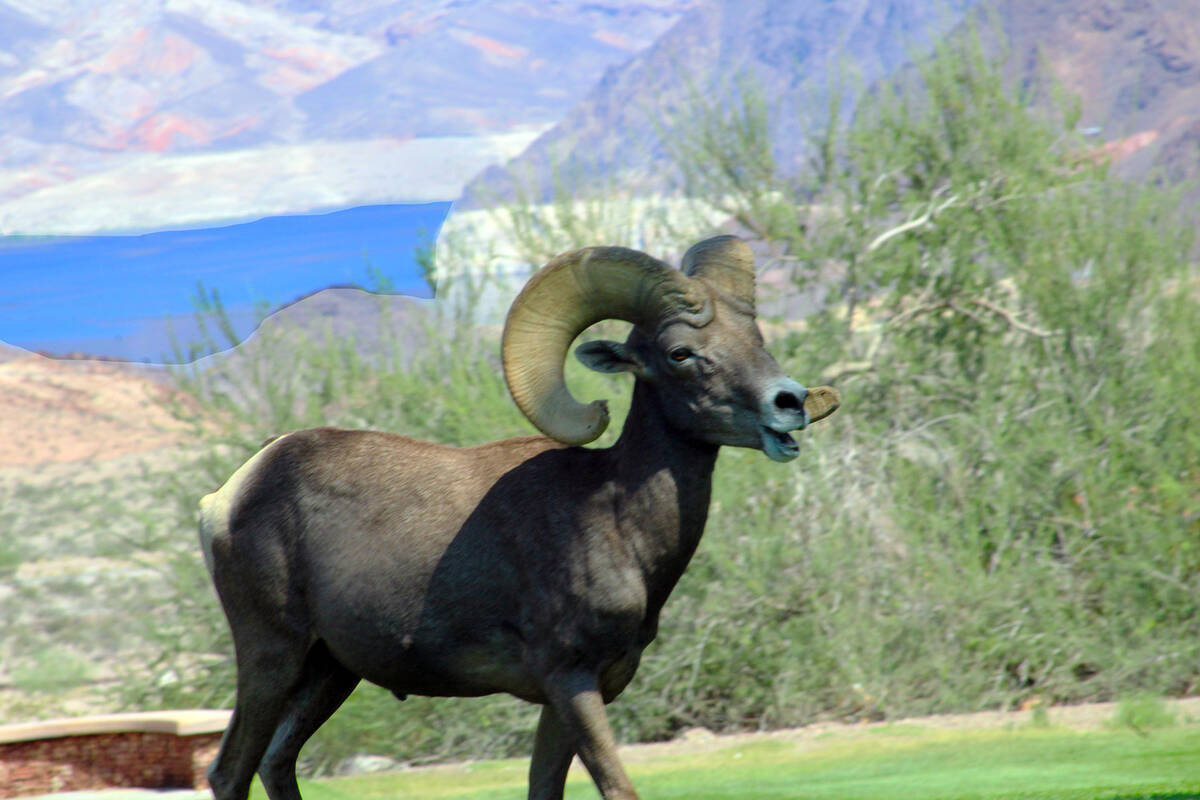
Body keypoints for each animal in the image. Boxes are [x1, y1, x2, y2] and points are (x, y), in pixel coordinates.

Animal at [199, 236, 835, 800]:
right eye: (681, 353)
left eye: (754, 337)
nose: (789, 403)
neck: (617, 521)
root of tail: (228, 496)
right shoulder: (570, 681)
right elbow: (618, 787)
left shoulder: (574, 695)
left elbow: (544, 788)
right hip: (272, 656)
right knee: (230, 773)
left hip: (328, 672)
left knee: (276, 763)